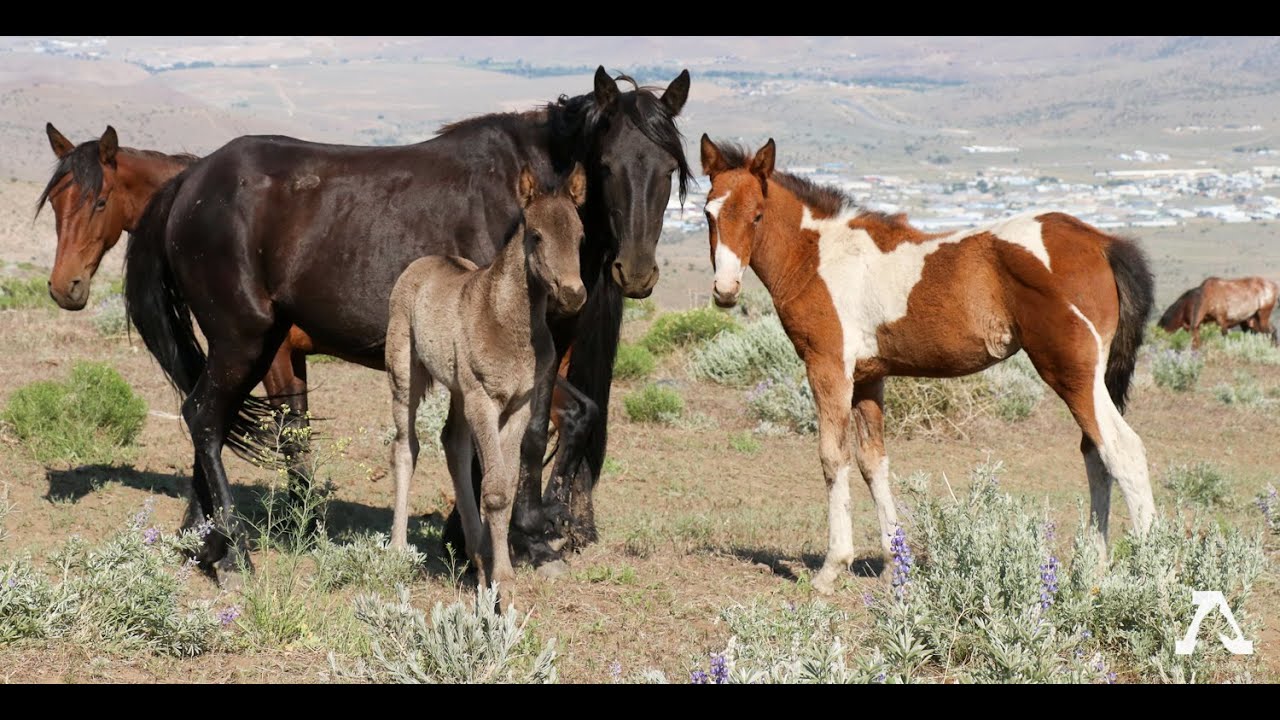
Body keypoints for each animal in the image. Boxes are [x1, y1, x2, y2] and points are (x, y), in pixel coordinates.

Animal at [386, 164, 587, 598]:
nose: (573, 294)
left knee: (453, 446)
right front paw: (504, 586)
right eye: (536, 235)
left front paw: (494, 571)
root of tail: (423, 262)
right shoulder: (484, 398)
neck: (506, 320)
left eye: (581, 235)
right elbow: (494, 491)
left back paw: (476, 556)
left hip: (458, 391)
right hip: (405, 374)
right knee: (406, 447)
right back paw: (396, 549)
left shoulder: (519, 403)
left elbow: (505, 486)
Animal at [699, 136, 1156, 594]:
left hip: (1073, 373)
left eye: (757, 214)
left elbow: (833, 456)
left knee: (1123, 451)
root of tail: (1101, 243)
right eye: (708, 213)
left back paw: (1151, 570)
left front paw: (831, 568)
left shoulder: (828, 367)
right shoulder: (869, 378)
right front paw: (893, 564)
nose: (725, 290)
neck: (818, 257)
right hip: (1091, 378)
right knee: (1096, 455)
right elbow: (873, 461)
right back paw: (1095, 571)